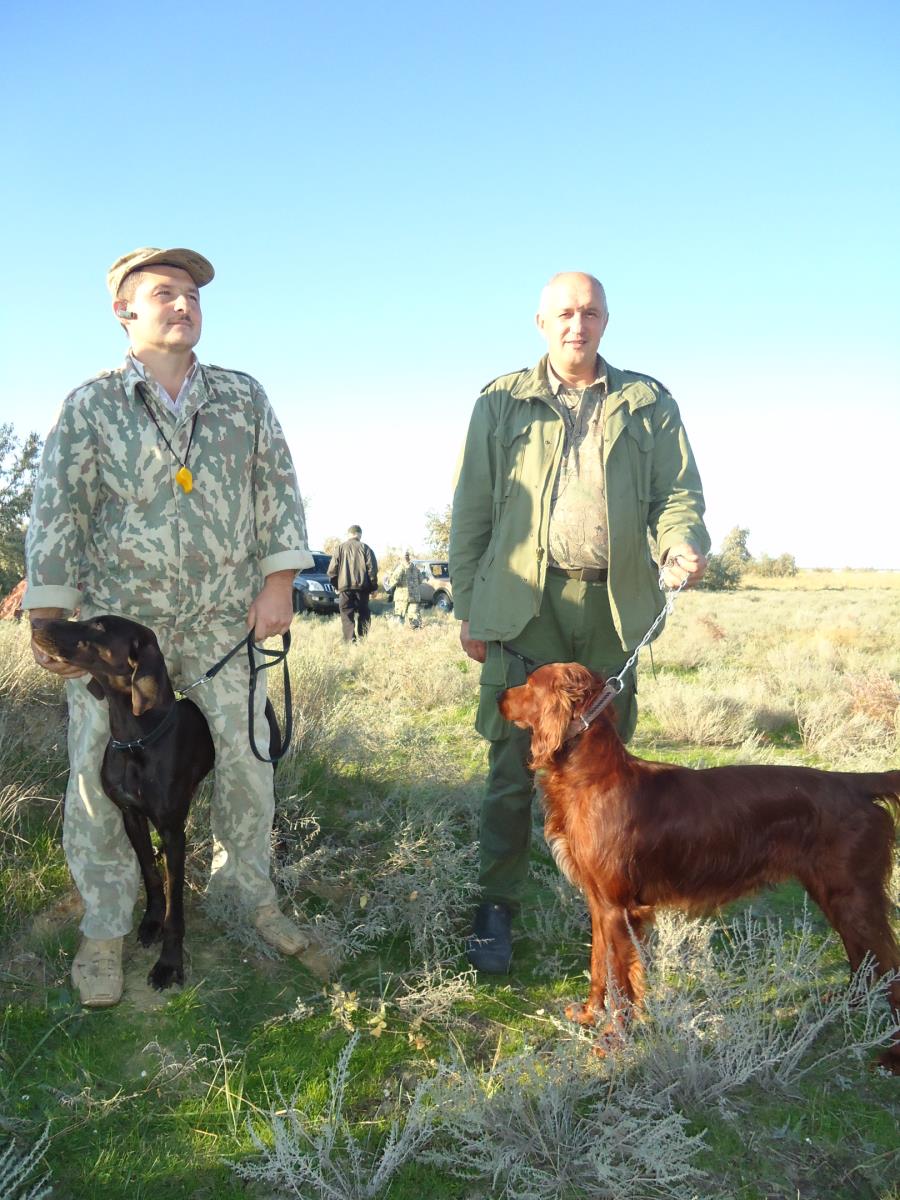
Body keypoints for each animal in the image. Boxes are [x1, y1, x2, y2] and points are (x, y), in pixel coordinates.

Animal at [31, 614, 280, 990]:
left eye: (100, 627)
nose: (36, 622)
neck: (135, 739)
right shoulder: (131, 816)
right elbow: (150, 873)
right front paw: (151, 921)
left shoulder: (172, 831)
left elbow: (175, 907)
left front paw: (169, 963)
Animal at [498, 662, 900, 1073]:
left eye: (529, 684)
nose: (498, 696)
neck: (591, 775)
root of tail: (855, 782)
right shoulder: (600, 904)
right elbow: (600, 967)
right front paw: (590, 1014)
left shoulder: (618, 908)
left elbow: (619, 979)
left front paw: (613, 1040)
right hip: (835, 894)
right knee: (864, 960)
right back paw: (845, 1004)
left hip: (853, 896)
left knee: (888, 964)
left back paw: (891, 1054)